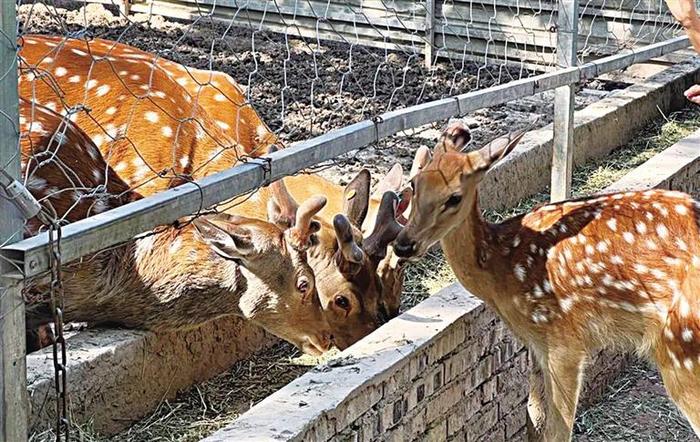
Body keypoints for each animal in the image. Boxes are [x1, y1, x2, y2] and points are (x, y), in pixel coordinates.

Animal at [394, 120, 700, 438]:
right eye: (413, 183)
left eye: (454, 197)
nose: (403, 245)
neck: (502, 269)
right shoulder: (536, 345)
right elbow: (533, 418)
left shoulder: (564, 341)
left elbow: (557, 431)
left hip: (682, 346)